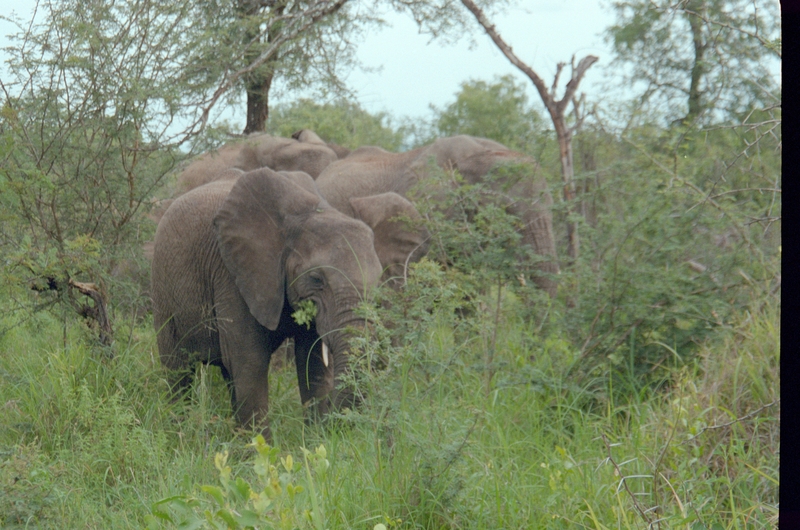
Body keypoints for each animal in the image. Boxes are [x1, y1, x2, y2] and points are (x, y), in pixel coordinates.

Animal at [154, 166, 388, 434]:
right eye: (316, 279)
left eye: (378, 281)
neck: (305, 213)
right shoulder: (233, 274)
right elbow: (250, 363)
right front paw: (259, 446)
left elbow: (312, 363)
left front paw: (317, 439)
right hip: (164, 294)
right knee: (178, 373)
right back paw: (177, 430)